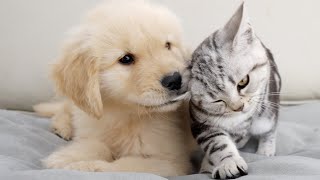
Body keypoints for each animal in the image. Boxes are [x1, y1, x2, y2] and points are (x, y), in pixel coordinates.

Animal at [36, 0, 195, 176]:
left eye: (168, 45)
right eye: (126, 59)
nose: (175, 79)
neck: (124, 115)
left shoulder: (172, 163)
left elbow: (124, 165)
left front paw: (83, 166)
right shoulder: (93, 128)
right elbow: (97, 146)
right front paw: (66, 157)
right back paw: (63, 126)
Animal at [189, 3, 282, 180]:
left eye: (243, 82)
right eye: (216, 100)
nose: (238, 107)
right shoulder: (201, 122)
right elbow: (218, 144)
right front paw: (226, 163)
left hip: (268, 110)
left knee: (270, 128)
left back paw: (265, 149)